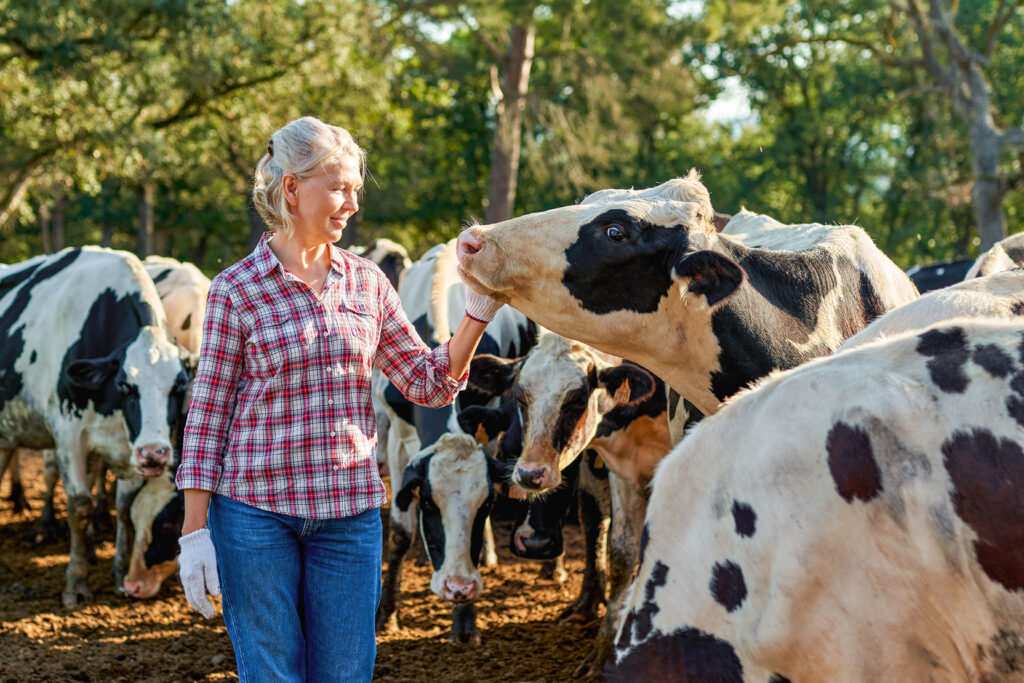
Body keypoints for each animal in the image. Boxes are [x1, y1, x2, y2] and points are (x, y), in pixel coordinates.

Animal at [0, 246, 188, 610]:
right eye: (125, 385)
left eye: (179, 386)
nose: (156, 453)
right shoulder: (67, 435)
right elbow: (80, 507)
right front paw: (76, 584)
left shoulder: (129, 449)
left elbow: (123, 506)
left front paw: (117, 575)